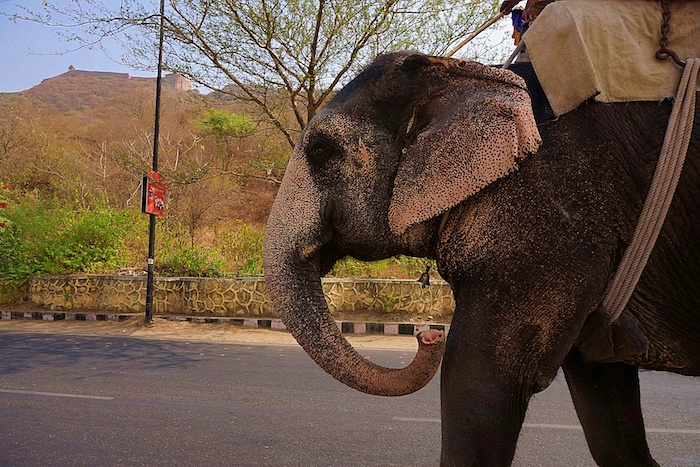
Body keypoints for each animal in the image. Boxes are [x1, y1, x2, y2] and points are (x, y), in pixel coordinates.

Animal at [262, 51, 700, 466]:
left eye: (319, 150)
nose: (428, 335)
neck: (466, 73)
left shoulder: (545, 222)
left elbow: (478, 382)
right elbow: (609, 422)